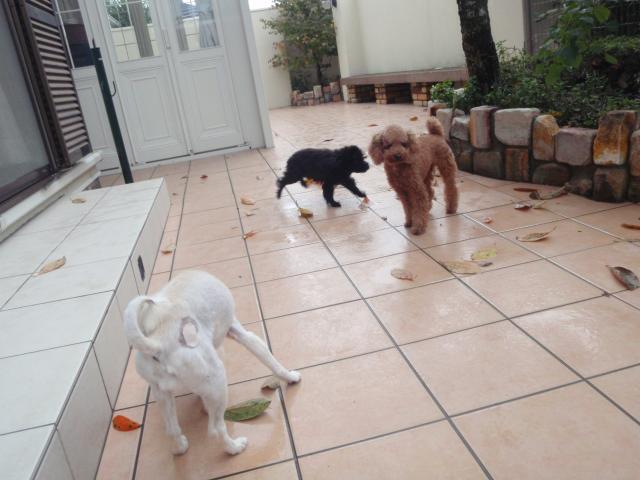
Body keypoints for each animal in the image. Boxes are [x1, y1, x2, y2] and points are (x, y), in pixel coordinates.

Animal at [124, 270, 300, 456]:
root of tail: (159, 344)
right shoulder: (240, 332)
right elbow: (271, 360)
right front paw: (291, 377)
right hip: (218, 381)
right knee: (216, 429)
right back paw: (234, 447)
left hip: (161, 394)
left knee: (172, 429)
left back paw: (180, 447)